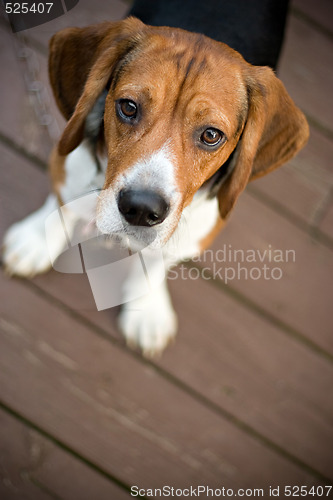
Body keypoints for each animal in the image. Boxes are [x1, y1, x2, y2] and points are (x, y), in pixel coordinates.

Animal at [2, 14, 308, 356]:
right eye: (128, 107)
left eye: (211, 135)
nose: (140, 209)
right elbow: (63, 203)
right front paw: (36, 239)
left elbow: (156, 262)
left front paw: (148, 309)